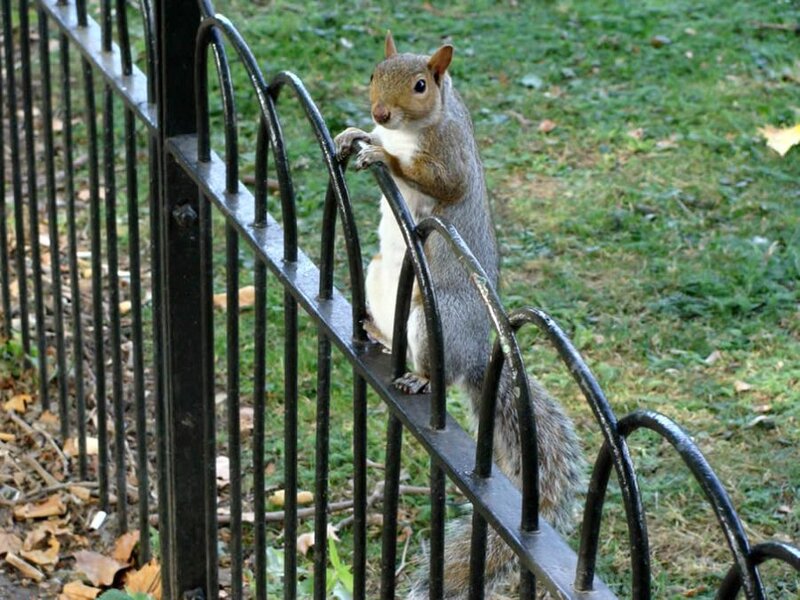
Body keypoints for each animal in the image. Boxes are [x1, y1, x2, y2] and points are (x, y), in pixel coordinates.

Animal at [335, 32, 583, 599]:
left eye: (420, 86)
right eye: (375, 73)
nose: (379, 113)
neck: (412, 129)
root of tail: (473, 357)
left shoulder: (450, 156)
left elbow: (440, 183)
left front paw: (379, 151)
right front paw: (354, 133)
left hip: (436, 316)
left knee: (435, 368)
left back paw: (420, 378)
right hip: (381, 274)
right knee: (393, 333)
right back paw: (375, 331)